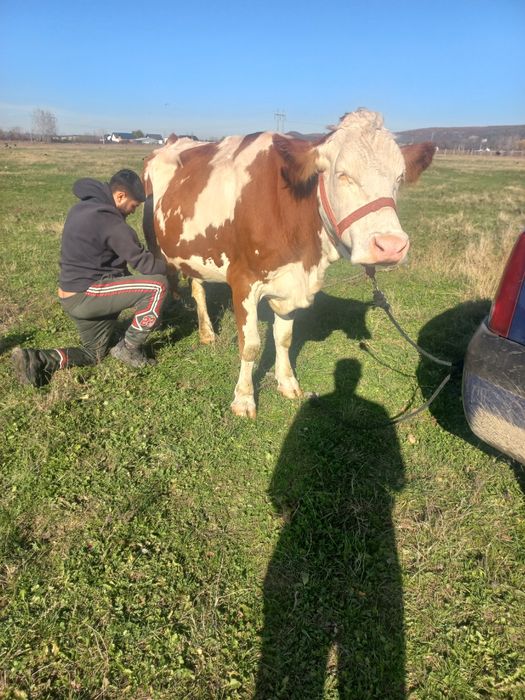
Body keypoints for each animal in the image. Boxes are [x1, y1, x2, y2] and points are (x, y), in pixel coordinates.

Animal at [143, 109, 435, 418]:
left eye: (399, 178)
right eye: (342, 175)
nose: (391, 246)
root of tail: (173, 140)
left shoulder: (291, 281)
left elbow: (283, 337)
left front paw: (287, 382)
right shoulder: (243, 281)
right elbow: (250, 345)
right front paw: (243, 399)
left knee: (198, 286)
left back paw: (207, 333)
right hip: (157, 246)